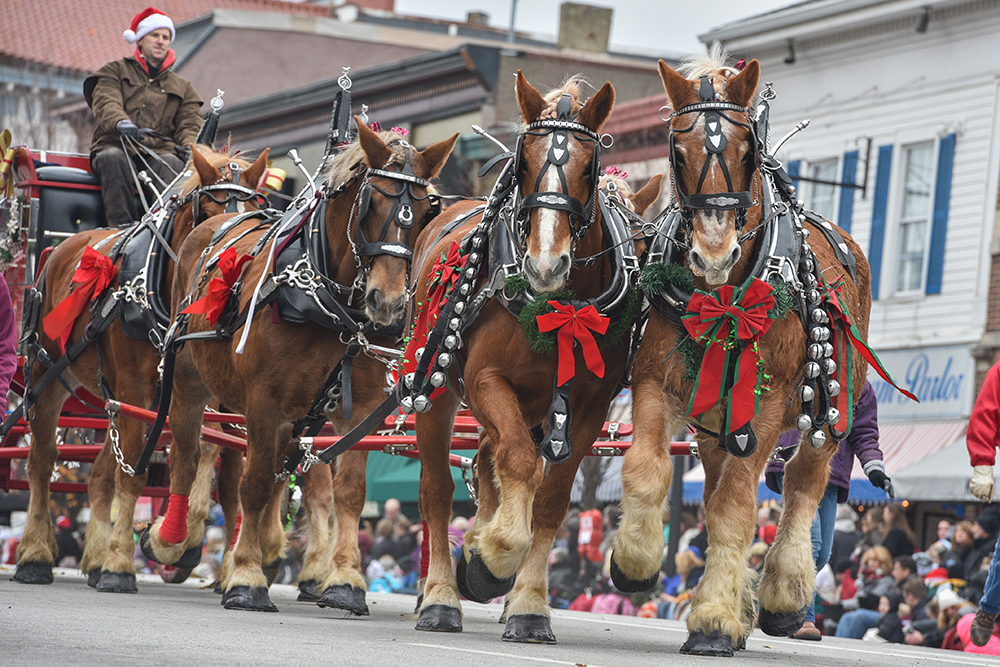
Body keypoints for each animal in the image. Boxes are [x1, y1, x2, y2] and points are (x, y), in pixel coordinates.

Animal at [12, 149, 270, 592]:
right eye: (207, 212)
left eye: (257, 212)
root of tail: (64, 248)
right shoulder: (136, 387)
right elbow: (134, 474)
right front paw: (121, 564)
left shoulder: (210, 397)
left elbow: (220, 474)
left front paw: (216, 565)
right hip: (50, 373)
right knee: (42, 463)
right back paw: (35, 554)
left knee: (101, 473)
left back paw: (94, 556)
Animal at [146, 122, 458, 612]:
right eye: (372, 202)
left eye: (429, 209)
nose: (388, 303)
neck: (327, 305)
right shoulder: (263, 399)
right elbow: (253, 483)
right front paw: (246, 577)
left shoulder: (356, 408)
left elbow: (347, 491)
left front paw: (344, 579)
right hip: (190, 379)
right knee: (190, 451)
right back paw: (175, 539)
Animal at [414, 75, 664, 644]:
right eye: (522, 163)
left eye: (589, 167)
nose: (545, 265)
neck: (562, 306)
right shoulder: (486, 381)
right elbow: (520, 465)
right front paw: (492, 558)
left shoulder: (588, 408)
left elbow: (550, 498)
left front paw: (526, 604)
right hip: (437, 390)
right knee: (439, 489)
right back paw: (440, 595)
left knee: (486, 461)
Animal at [604, 53, 872, 656]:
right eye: (678, 151)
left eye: (747, 150)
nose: (714, 252)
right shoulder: (657, 382)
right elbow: (647, 468)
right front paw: (635, 562)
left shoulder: (768, 405)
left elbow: (736, 506)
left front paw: (713, 621)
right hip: (715, 421)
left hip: (831, 409)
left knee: (803, 482)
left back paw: (782, 597)